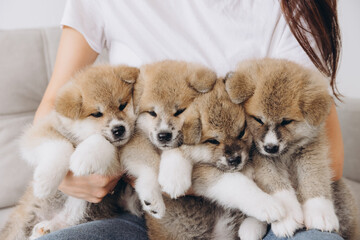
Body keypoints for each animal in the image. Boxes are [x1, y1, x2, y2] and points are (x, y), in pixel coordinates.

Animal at [0, 64, 140, 239]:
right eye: (97, 114)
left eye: (122, 105)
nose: (119, 129)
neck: (80, 135)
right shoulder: (41, 131)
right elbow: (61, 146)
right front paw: (45, 182)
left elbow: (101, 142)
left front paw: (83, 157)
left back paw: (44, 229)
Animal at [119, 60, 218, 219]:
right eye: (152, 113)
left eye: (180, 111)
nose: (163, 135)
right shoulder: (134, 141)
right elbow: (151, 164)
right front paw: (153, 197)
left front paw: (174, 177)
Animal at [146, 77, 286, 240]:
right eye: (213, 141)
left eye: (241, 133)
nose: (235, 159)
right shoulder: (205, 172)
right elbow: (239, 183)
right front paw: (266, 204)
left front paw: (254, 224)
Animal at [225, 57, 358, 238]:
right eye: (258, 119)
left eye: (286, 121)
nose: (270, 147)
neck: (285, 153)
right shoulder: (260, 156)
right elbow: (275, 183)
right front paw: (286, 216)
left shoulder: (311, 148)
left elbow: (314, 177)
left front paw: (319, 211)